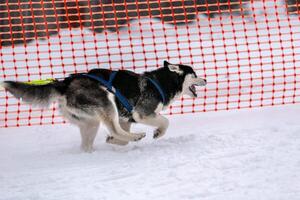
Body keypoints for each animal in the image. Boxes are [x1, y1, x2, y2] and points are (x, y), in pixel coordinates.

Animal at [1, 60, 206, 152]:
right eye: (195, 74)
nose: (205, 79)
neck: (160, 82)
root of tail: (65, 83)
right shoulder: (142, 114)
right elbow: (165, 121)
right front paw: (157, 133)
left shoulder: (126, 119)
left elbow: (121, 137)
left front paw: (115, 142)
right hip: (107, 102)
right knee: (114, 128)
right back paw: (137, 136)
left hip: (90, 122)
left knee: (90, 142)